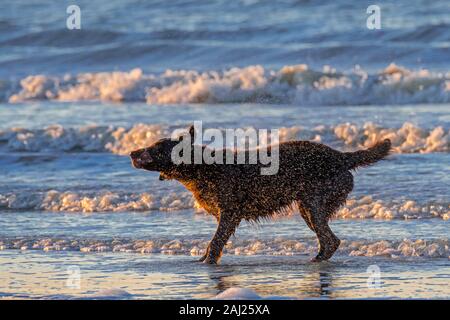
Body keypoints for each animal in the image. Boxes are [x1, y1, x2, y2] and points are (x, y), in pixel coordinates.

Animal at [129, 126, 390, 264]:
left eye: (155, 148)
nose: (132, 152)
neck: (202, 168)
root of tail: (342, 156)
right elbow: (213, 243)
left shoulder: (229, 215)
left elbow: (215, 242)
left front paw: (208, 260)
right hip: (308, 207)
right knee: (329, 240)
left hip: (314, 204)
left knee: (330, 240)